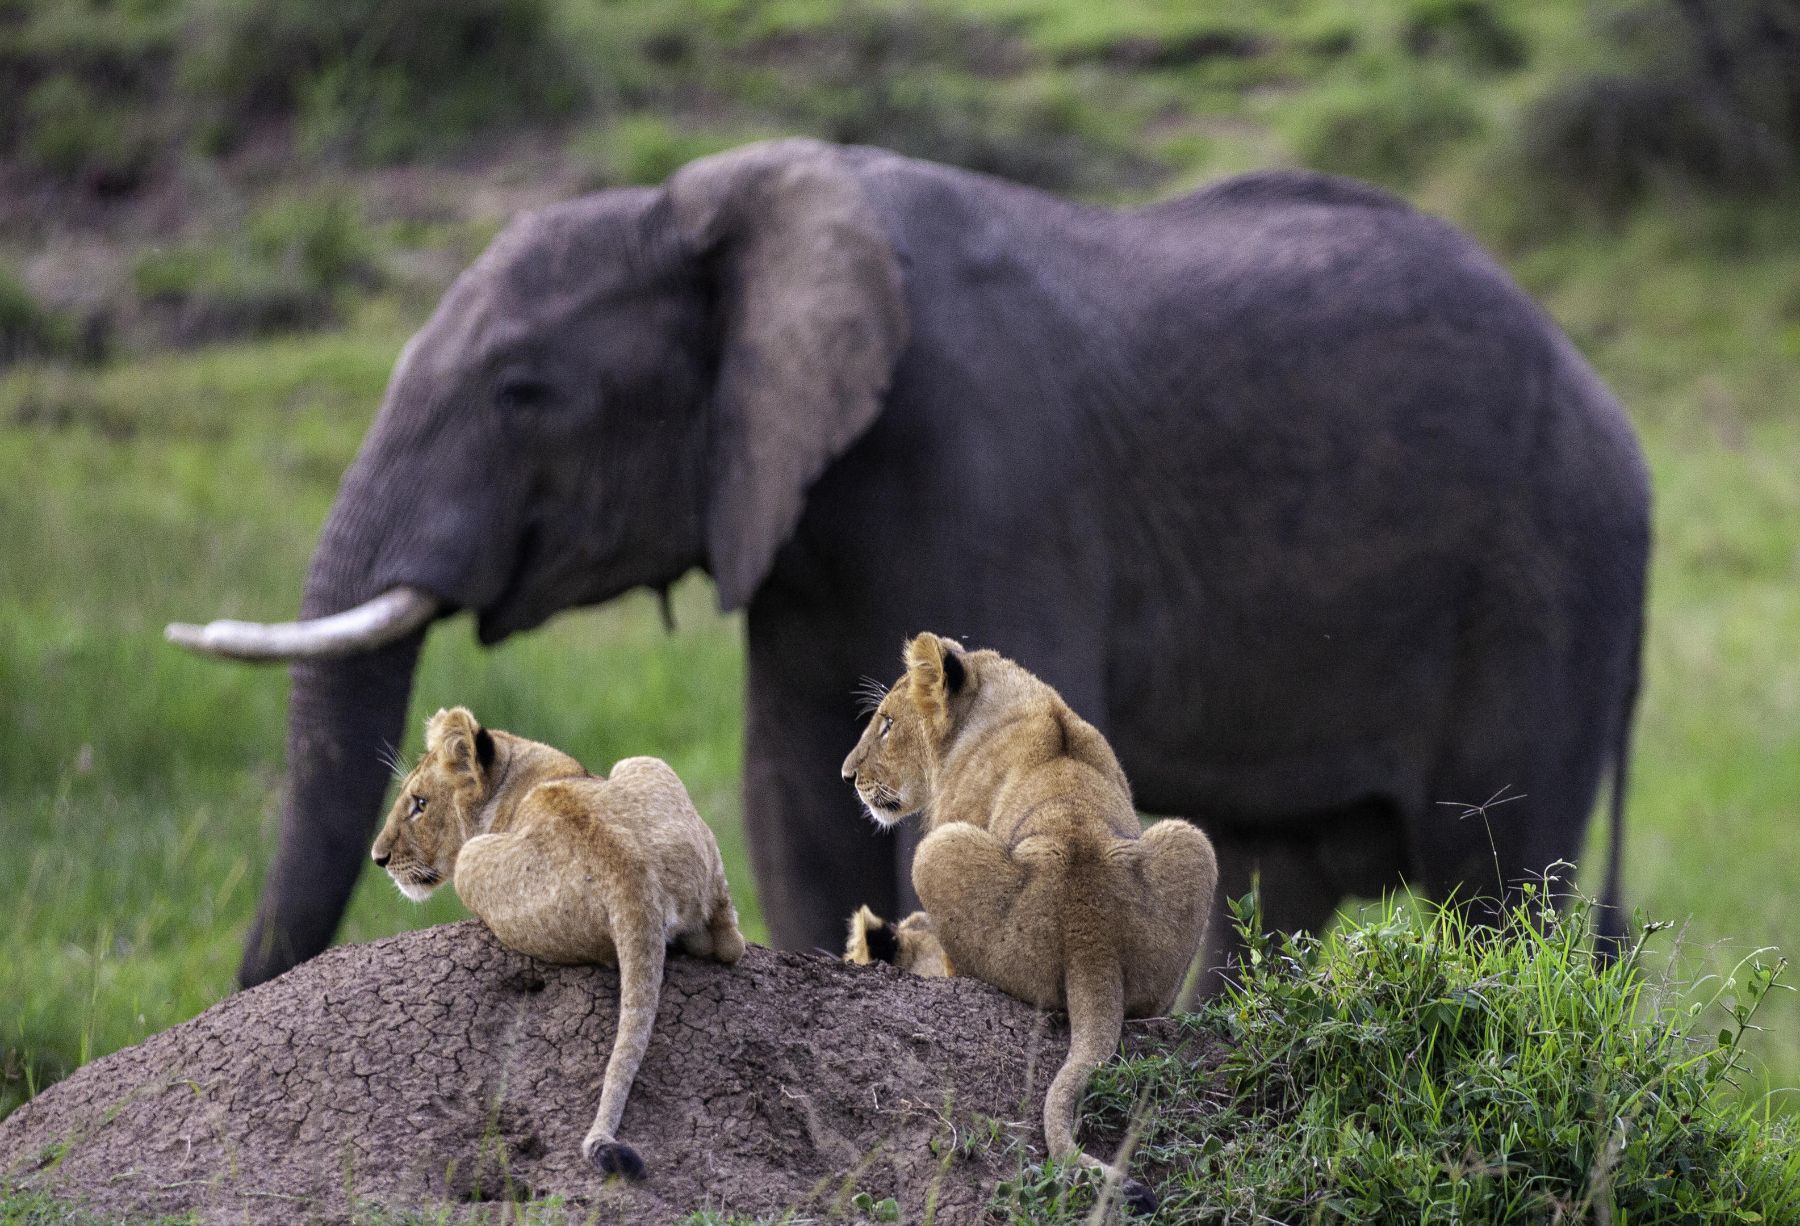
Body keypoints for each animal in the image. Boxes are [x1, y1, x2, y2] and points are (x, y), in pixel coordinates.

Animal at [170, 139, 1650, 989]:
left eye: (525, 392)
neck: (709, 208)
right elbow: (792, 798)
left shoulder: (991, 462)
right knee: (1274, 885)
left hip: (1548, 586)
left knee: (1498, 872)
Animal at [371, 707, 745, 1180]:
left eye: (419, 804)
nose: (377, 858)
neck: (523, 774)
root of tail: (629, 875)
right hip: (649, 769)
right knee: (730, 944)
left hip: (477, 863)